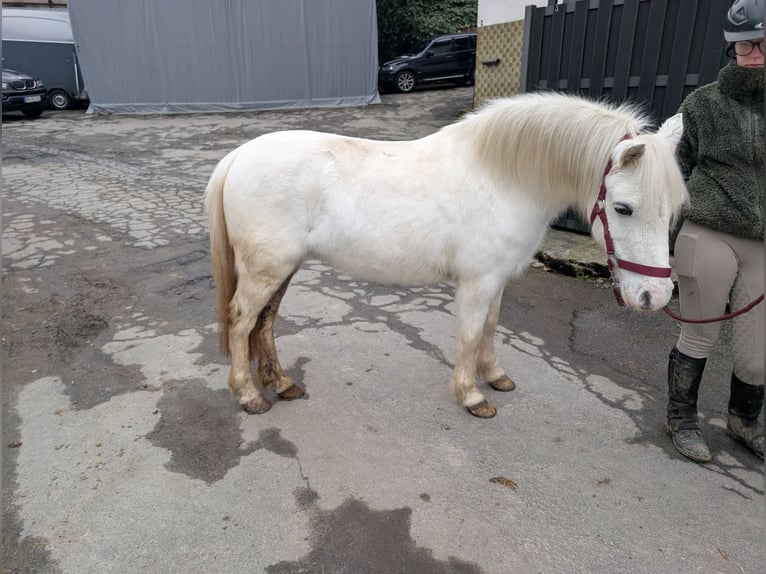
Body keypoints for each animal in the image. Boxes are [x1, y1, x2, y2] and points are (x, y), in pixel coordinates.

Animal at [204, 92, 687, 418]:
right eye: (623, 208)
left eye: (674, 211)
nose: (655, 297)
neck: (503, 177)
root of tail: (238, 156)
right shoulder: (478, 282)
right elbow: (470, 335)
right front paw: (471, 396)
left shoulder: (497, 280)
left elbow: (490, 328)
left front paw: (494, 376)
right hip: (266, 269)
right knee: (242, 322)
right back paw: (249, 396)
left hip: (281, 268)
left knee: (265, 323)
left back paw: (282, 384)